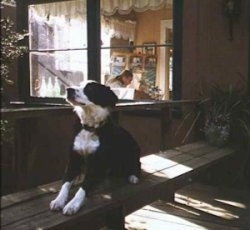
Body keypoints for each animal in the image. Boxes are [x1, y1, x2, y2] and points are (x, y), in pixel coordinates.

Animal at [49, 81, 142, 216]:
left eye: (90, 89)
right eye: (79, 84)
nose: (68, 90)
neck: (89, 128)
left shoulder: (97, 164)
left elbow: (84, 187)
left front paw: (73, 204)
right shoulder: (73, 160)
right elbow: (65, 183)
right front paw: (59, 200)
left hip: (131, 152)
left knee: (137, 165)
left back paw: (133, 176)